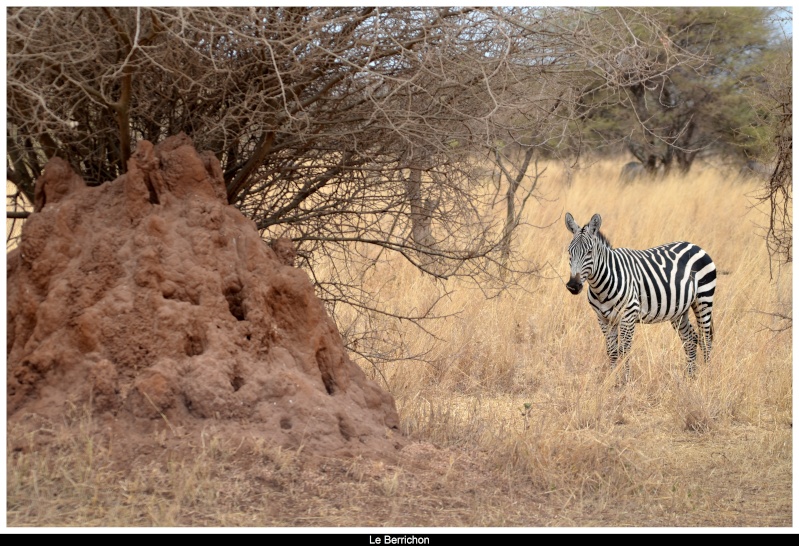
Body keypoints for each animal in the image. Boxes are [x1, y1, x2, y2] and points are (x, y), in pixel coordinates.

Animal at [564, 212, 720, 378]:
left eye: (589, 252)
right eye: (569, 252)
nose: (573, 286)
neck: (600, 287)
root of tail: (695, 245)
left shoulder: (628, 315)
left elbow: (624, 350)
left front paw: (625, 380)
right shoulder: (603, 318)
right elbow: (612, 351)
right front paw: (612, 379)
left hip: (704, 299)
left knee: (705, 339)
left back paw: (706, 376)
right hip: (679, 310)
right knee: (690, 339)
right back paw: (690, 378)